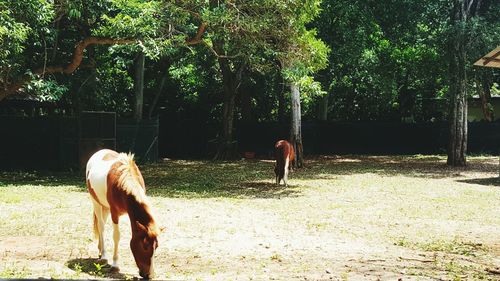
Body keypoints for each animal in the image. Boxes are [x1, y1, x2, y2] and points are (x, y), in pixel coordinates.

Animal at [85, 149, 161, 278]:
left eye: (156, 247)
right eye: (145, 246)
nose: (149, 275)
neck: (123, 183)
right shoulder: (114, 212)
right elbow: (116, 236)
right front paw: (115, 264)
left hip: (105, 207)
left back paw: (100, 250)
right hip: (96, 202)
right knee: (101, 226)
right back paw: (104, 256)